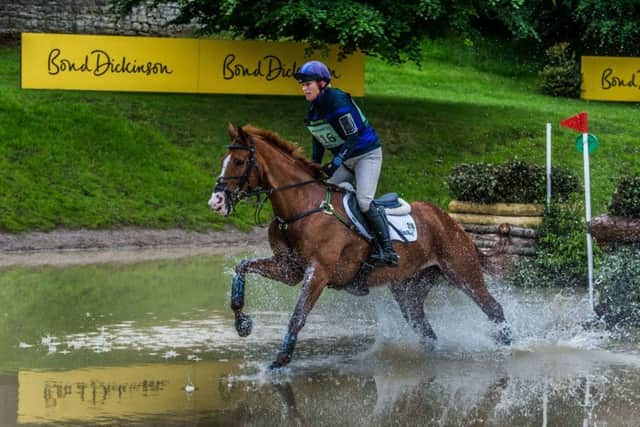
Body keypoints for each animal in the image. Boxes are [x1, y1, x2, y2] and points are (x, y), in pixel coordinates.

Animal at [209, 123, 510, 372]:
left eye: (239, 162)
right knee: (424, 327)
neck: (302, 206)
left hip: (462, 272)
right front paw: (242, 324)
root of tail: (450, 222)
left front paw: (279, 363)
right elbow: (241, 267)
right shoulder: (289, 268)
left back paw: (507, 347)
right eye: (223, 162)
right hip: (409, 288)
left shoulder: (318, 273)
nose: (216, 201)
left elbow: (298, 315)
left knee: (494, 309)